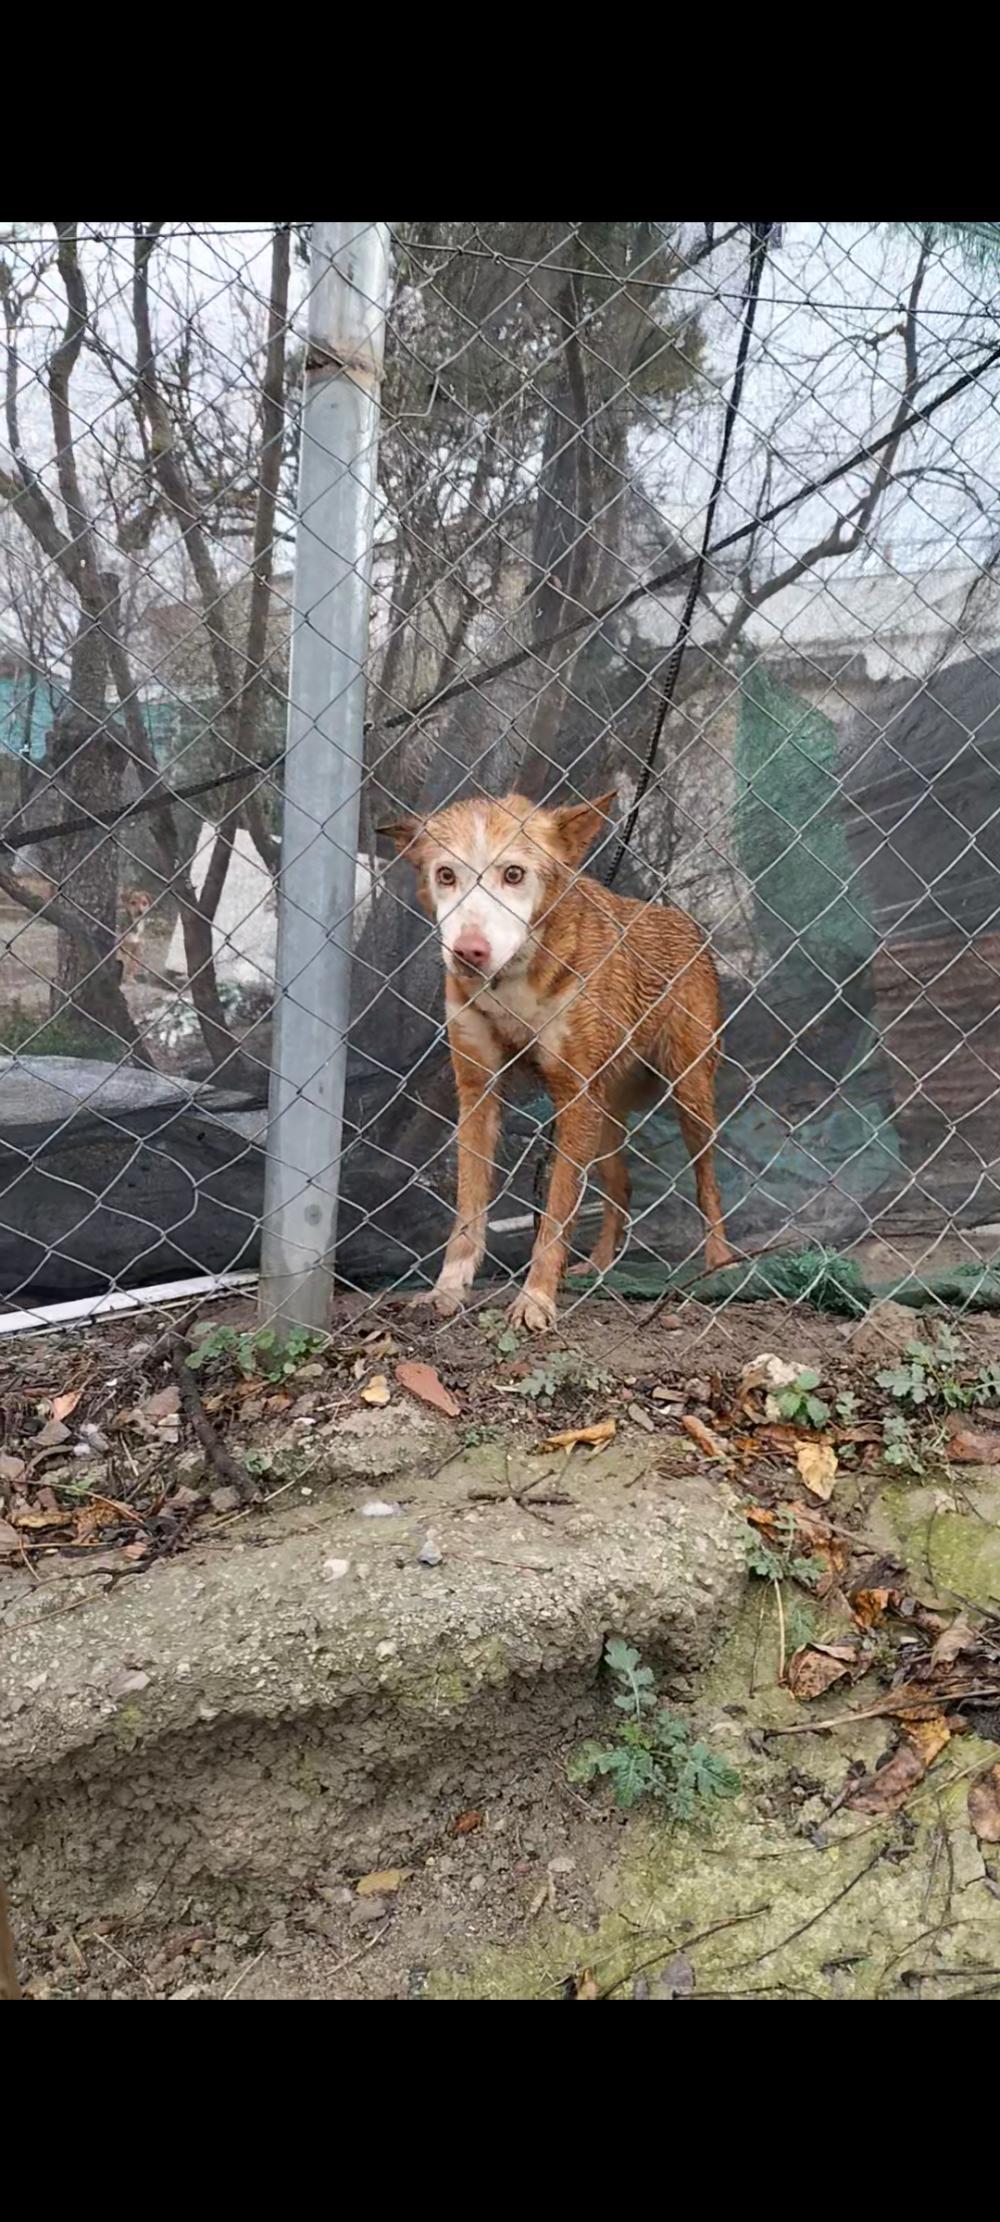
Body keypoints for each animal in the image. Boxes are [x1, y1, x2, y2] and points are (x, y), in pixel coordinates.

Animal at [386, 791, 728, 1324]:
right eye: (446, 875)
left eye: (514, 874)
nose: (468, 952)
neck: (512, 982)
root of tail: (682, 921)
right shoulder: (478, 1092)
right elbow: (468, 1209)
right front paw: (449, 1288)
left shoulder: (573, 1095)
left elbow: (556, 1211)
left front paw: (536, 1297)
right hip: (603, 1116)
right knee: (621, 1188)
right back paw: (600, 1266)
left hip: (689, 1096)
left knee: (706, 1184)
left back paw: (720, 1264)